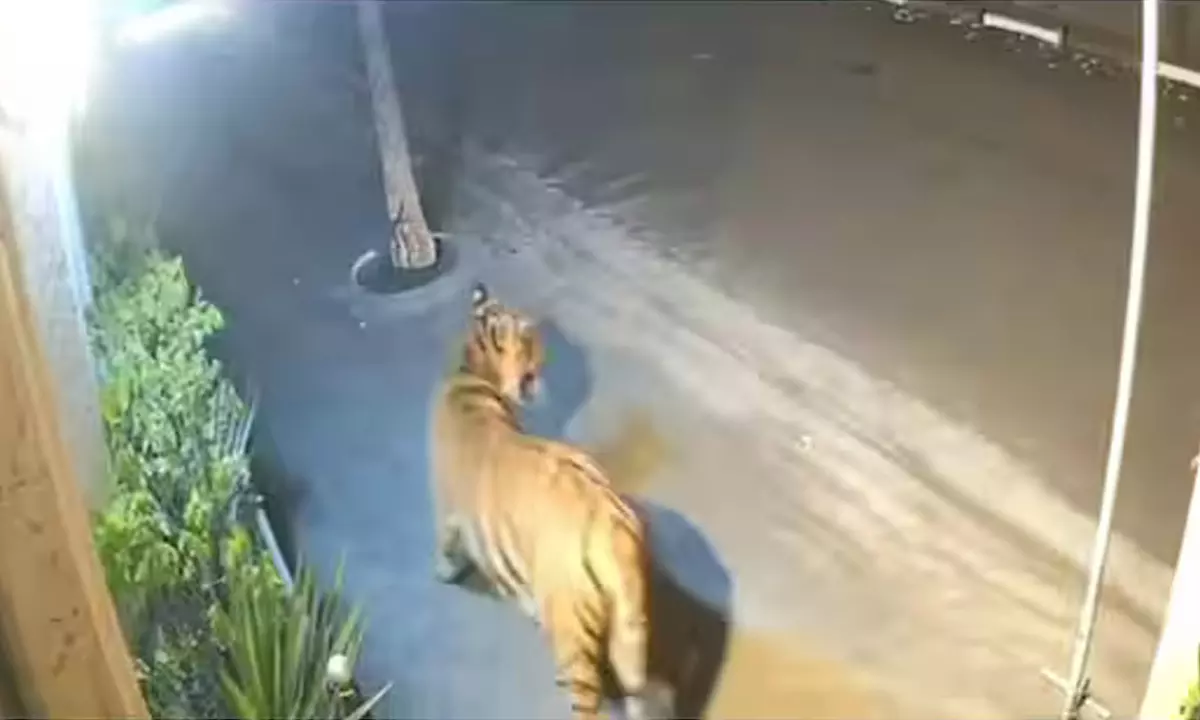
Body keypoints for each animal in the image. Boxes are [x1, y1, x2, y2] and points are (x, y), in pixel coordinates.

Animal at [430, 283, 667, 720]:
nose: (541, 370)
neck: (473, 368)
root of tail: (612, 532)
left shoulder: (448, 510)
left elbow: (446, 547)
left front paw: (444, 573)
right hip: (630, 633)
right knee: (635, 692)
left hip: (573, 635)